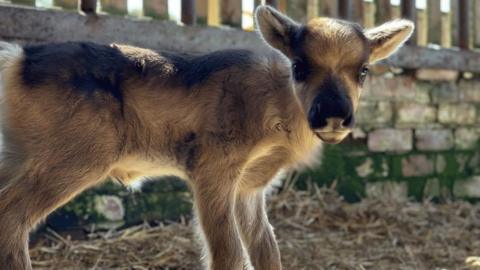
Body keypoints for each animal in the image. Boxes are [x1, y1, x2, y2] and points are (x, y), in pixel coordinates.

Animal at [0, 4, 412, 270]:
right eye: (299, 66)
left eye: (363, 70)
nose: (333, 117)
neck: (276, 112)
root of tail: (17, 59)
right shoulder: (213, 170)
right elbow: (229, 255)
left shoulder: (251, 187)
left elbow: (266, 251)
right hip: (73, 160)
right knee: (11, 217)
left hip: (17, 156)